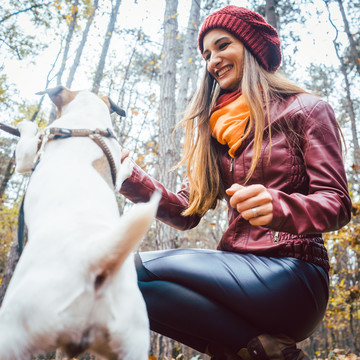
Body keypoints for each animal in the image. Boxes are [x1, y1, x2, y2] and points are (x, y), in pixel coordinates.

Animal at [0, 86, 158, 360]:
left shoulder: (27, 155)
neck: (88, 124)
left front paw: (25, 124)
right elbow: (123, 172)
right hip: (131, 345)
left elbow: (28, 137)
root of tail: (97, 261)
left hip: (12, 333)